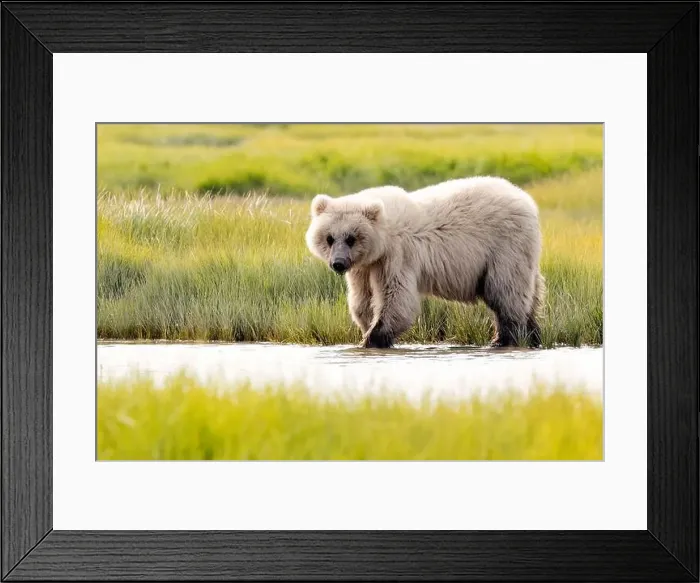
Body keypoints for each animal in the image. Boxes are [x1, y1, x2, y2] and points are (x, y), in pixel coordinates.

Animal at [304, 177, 545, 349]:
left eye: (351, 238)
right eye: (329, 238)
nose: (338, 263)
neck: (382, 240)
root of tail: (525, 198)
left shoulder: (397, 256)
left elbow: (396, 298)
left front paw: (373, 339)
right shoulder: (364, 266)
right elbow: (362, 299)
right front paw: (366, 328)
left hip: (505, 246)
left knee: (506, 292)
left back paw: (503, 339)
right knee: (531, 293)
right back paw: (533, 336)